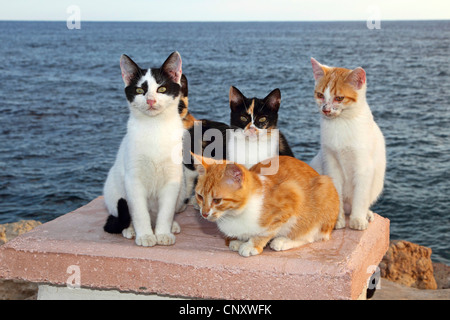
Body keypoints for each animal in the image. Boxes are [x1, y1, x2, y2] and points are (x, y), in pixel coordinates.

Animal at [104, 52, 188, 248]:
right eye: (139, 91)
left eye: (162, 89)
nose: (150, 100)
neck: (154, 127)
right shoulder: (133, 179)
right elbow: (139, 213)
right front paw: (145, 235)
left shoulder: (172, 179)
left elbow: (166, 212)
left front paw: (163, 232)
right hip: (113, 192)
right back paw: (131, 229)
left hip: (183, 188)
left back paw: (171, 225)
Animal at [192, 153, 340, 258]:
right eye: (200, 197)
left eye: (217, 200)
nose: (204, 213)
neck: (235, 215)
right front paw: (239, 240)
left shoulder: (291, 197)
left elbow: (266, 231)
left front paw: (252, 245)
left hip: (324, 192)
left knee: (310, 235)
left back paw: (284, 241)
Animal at [310, 57, 386, 231]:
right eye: (320, 95)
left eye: (339, 98)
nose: (325, 109)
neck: (340, 124)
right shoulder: (331, 163)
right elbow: (336, 193)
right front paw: (337, 220)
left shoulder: (364, 167)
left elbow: (360, 197)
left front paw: (357, 220)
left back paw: (366, 214)